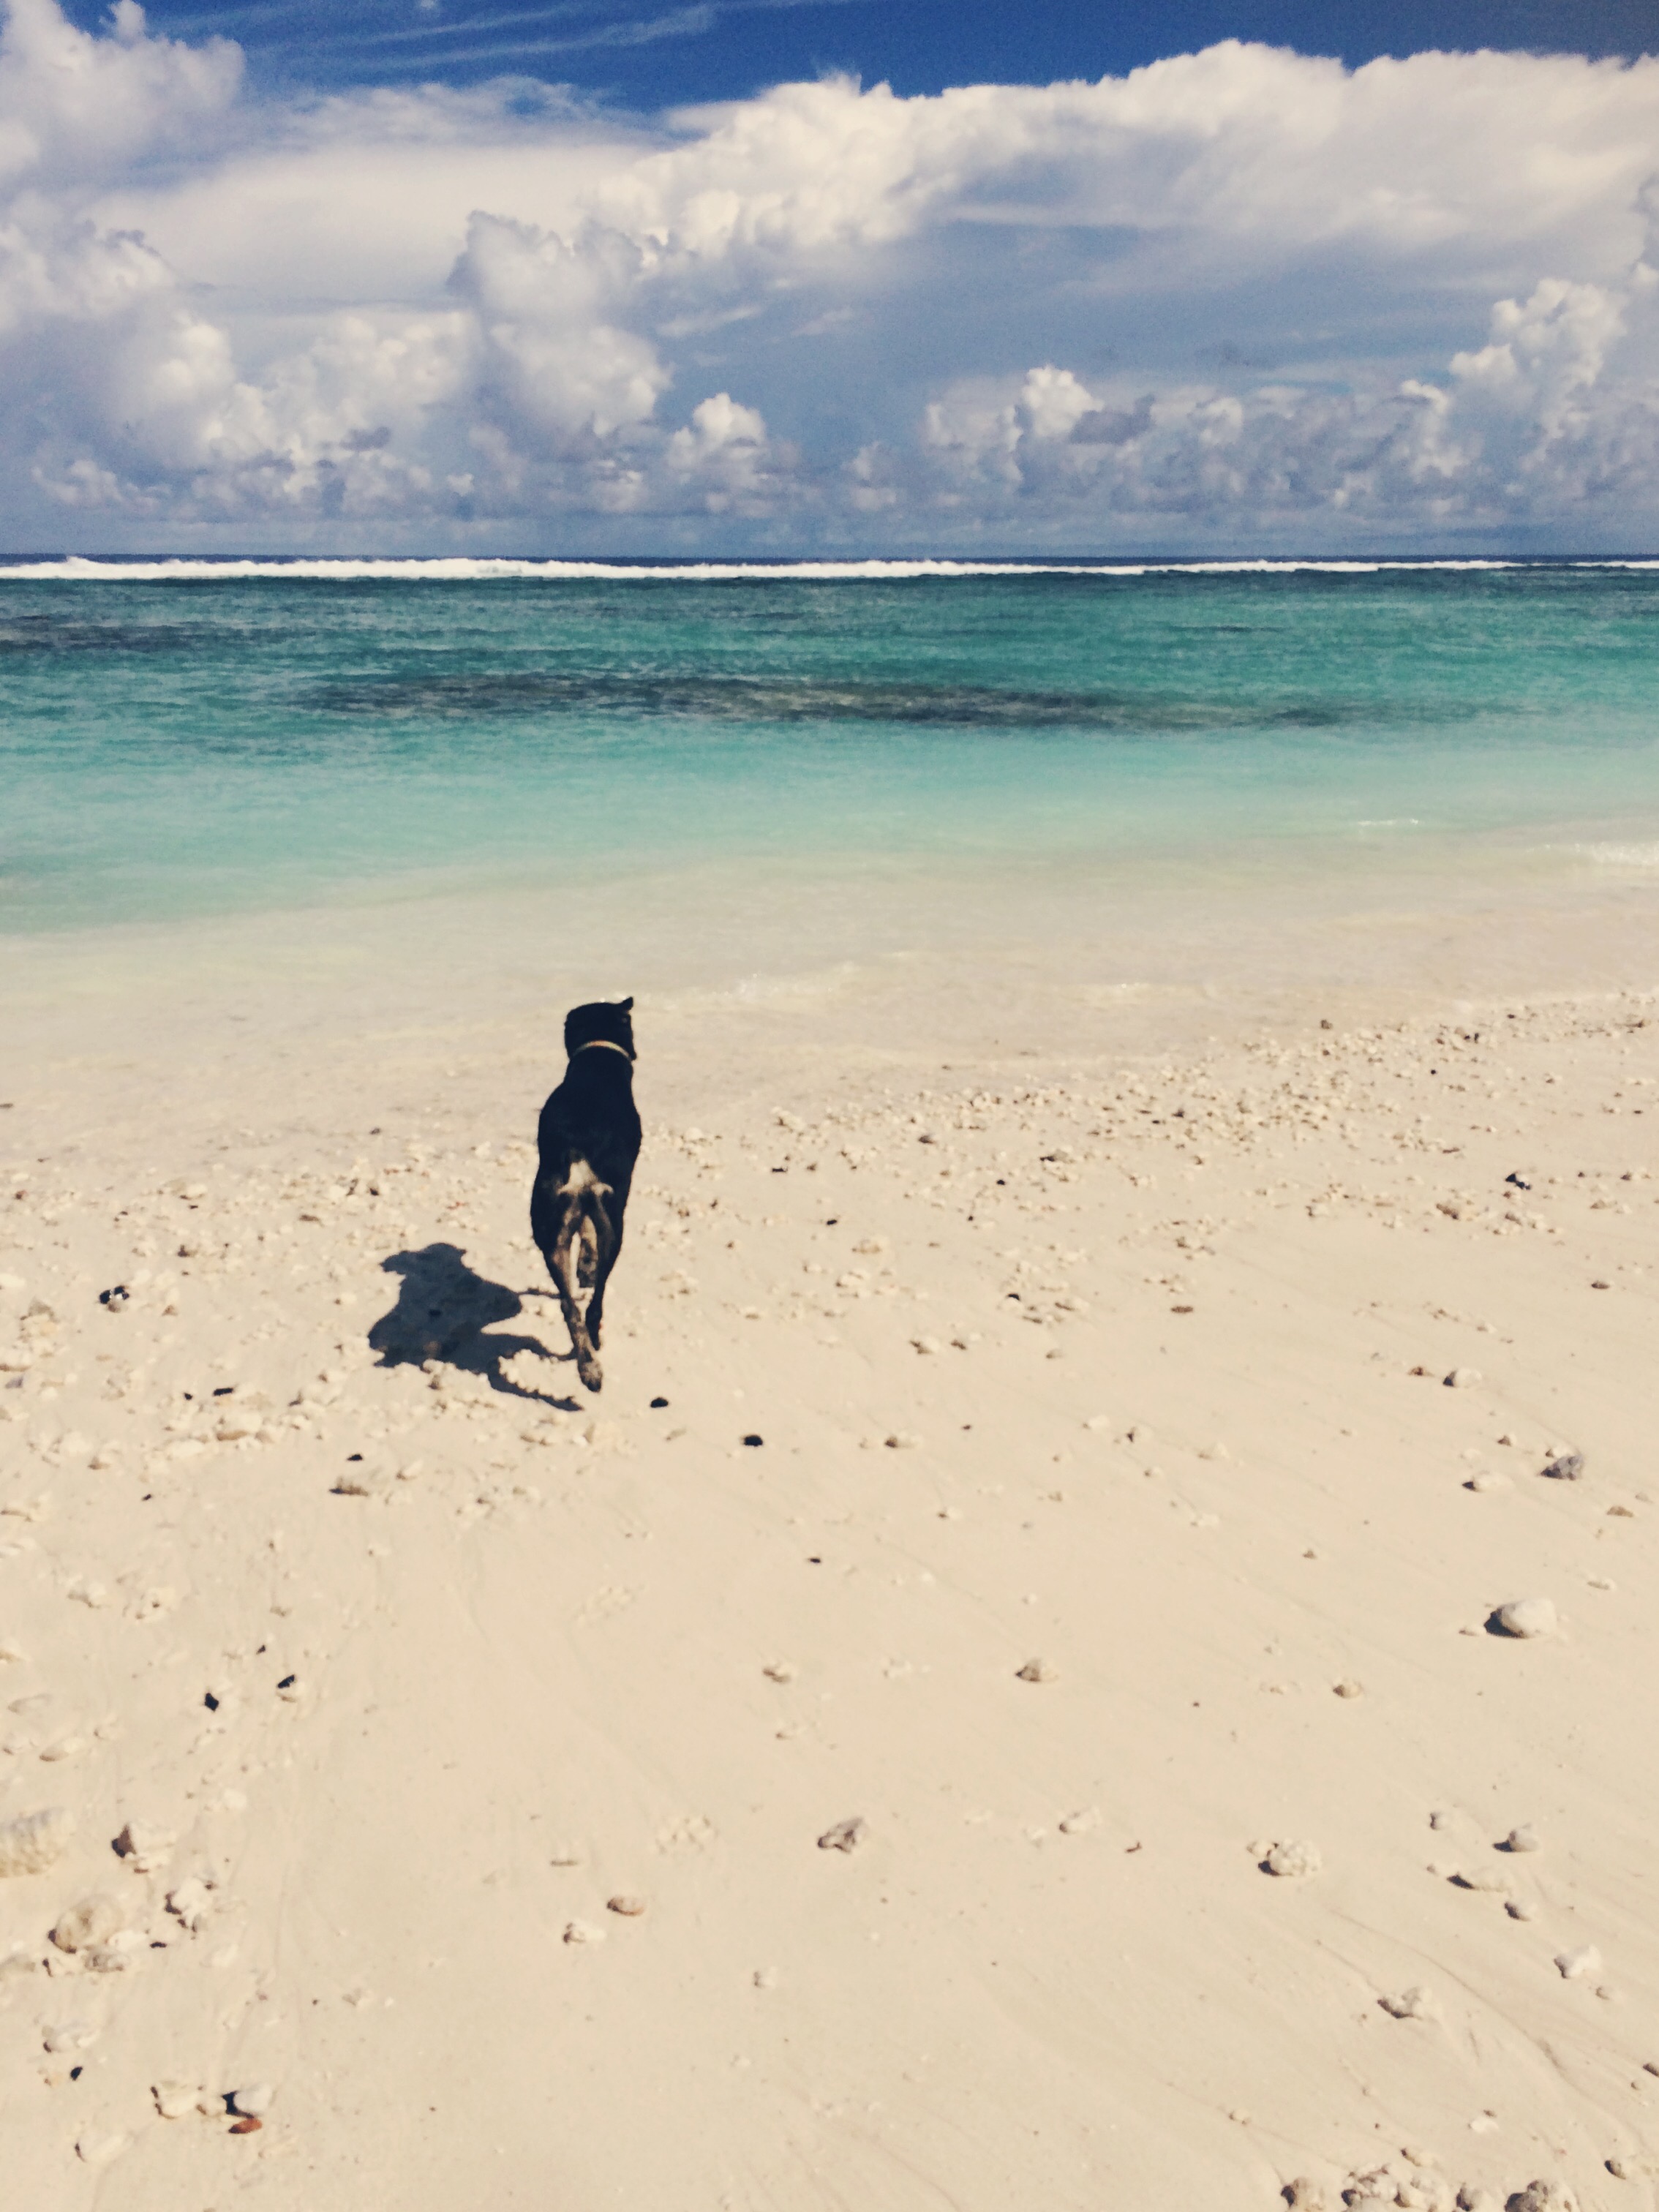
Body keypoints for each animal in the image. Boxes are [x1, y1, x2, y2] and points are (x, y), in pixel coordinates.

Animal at [530, 998, 641, 1393]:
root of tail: (576, 1152)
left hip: (548, 1228)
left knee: (570, 1307)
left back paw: (588, 1368)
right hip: (614, 1226)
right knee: (594, 1304)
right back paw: (594, 1350)